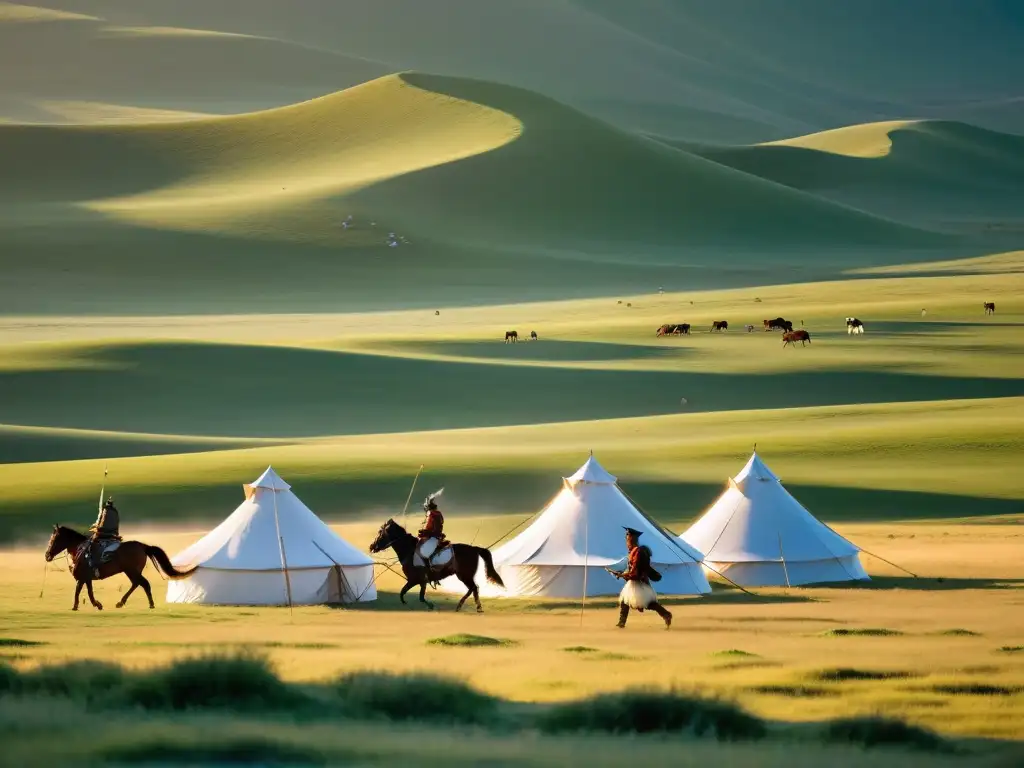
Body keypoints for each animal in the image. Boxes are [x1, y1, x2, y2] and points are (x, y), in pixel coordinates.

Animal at [44, 528, 195, 610]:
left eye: (54, 539)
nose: (47, 555)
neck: (80, 551)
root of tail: (142, 546)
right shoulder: (87, 578)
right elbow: (88, 592)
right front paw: (96, 605)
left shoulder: (82, 577)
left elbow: (78, 591)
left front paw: (76, 606)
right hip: (130, 571)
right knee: (137, 583)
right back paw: (123, 602)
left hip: (132, 571)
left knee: (143, 583)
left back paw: (146, 604)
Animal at [372, 520, 507, 618]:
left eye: (380, 532)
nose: (372, 546)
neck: (409, 551)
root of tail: (474, 549)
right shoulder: (417, 581)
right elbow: (403, 593)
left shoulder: (416, 580)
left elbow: (415, 596)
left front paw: (431, 606)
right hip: (465, 576)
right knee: (474, 588)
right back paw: (476, 608)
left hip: (464, 575)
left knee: (473, 588)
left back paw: (461, 606)